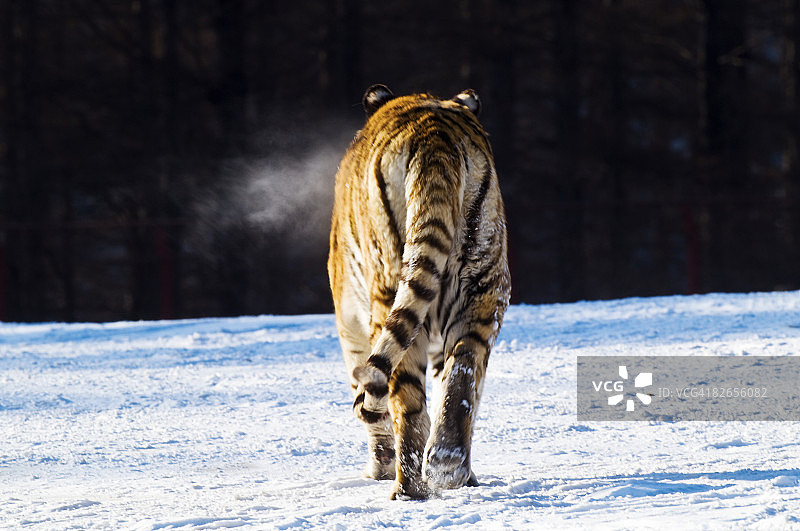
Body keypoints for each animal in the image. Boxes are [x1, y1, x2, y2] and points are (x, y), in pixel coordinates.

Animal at [328, 84, 511, 500]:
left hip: (388, 289)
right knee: (464, 372)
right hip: (484, 286)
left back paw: (409, 489)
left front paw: (379, 465)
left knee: (402, 396)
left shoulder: (350, 327)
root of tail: (434, 136)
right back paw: (447, 465)